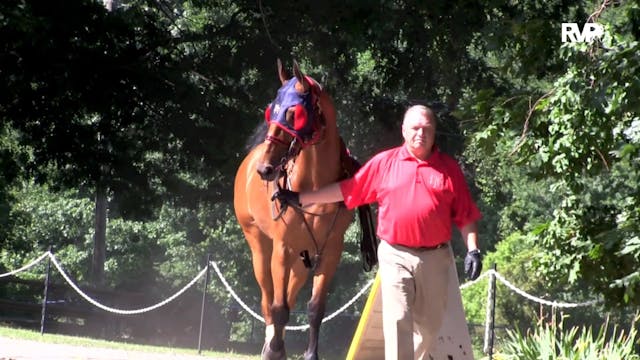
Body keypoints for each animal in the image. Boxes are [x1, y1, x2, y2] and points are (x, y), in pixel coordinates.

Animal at [234, 60, 376, 358]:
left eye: (294, 114)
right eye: (271, 111)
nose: (265, 169)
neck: (314, 186)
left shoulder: (330, 251)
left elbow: (314, 309)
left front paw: (310, 353)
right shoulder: (281, 248)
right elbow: (278, 308)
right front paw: (274, 349)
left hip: (303, 256)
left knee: (290, 291)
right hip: (259, 246)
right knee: (268, 298)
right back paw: (270, 342)